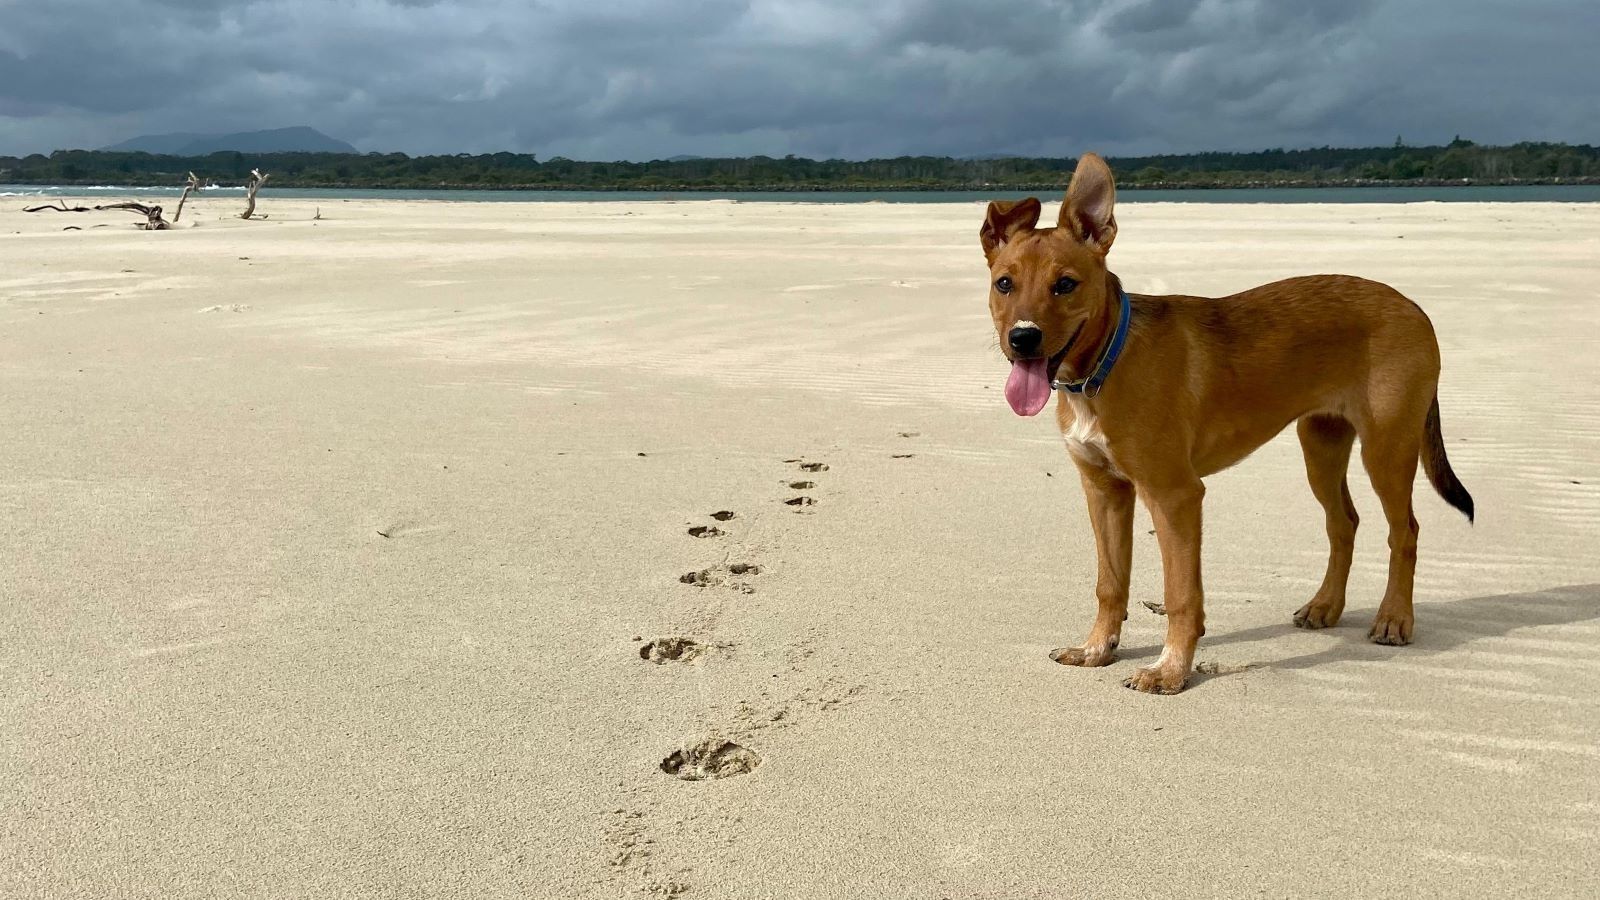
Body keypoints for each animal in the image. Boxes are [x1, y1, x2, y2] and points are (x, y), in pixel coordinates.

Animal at [979, 152, 1478, 695]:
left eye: (1065, 285)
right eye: (1004, 283)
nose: (1023, 339)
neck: (1104, 366)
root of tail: (1413, 306)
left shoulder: (1174, 495)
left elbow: (1180, 595)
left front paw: (1171, 670)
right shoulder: (1104, 491)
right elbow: (1109, 583)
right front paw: (1096, 650)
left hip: (1387, 447)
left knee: (1404, 531)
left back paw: (1394, 618)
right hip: (1321, 446)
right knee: (1343, 522)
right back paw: (1325, 606)